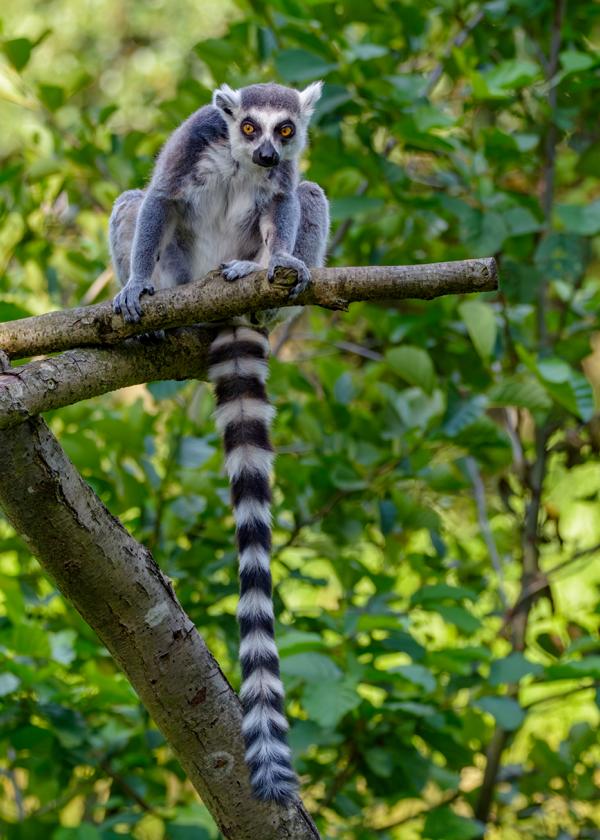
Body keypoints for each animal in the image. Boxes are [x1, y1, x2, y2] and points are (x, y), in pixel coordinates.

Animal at [108, 81, 329, 805]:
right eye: (248, 126)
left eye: (286, 130)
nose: (265, 153)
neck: (238, 161)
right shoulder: (195, 141)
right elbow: (158, 197)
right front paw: (134, 287)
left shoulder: (281, 178)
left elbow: (287, 198)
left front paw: (283, 260)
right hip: (181, 274)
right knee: (133, 205)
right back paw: (156, 310)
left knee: (309, 193)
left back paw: (262, 289)